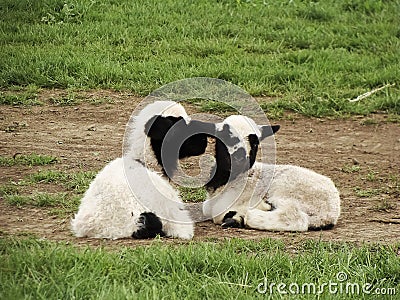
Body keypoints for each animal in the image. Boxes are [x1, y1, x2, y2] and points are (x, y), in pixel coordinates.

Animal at [202, 115, 340, 232]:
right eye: (224, 138)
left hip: (286, 190)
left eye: (255, 143)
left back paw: (247, 215)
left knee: (295, 217)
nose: (240, 159)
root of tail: (331, 212)